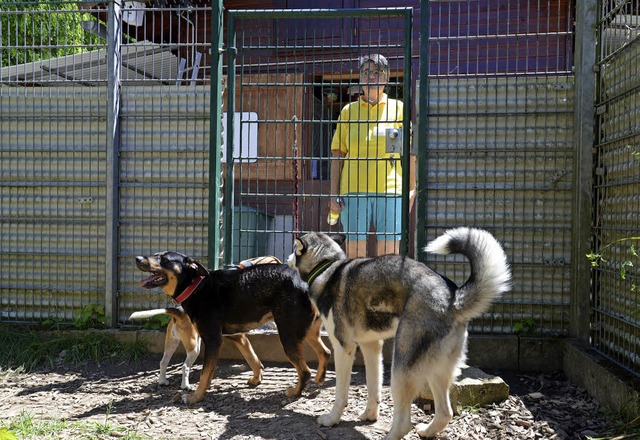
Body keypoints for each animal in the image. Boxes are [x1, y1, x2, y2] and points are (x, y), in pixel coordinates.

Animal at [134, 251, 330, 406]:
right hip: (307, 331)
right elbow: (250, 359)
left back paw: (295, 392)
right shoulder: (236, 336)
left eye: (164, 259)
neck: (197, 286)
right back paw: (319, 379)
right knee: (325, 352)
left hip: (288, 334)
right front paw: (255, 379)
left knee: (304, 371)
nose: (137, 258)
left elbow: (204, 374)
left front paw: (195, 398)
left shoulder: (213, 340)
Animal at [288, 229, 510, 438]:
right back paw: (427, 431)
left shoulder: (344, 349)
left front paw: (332, 419)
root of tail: (452, 299)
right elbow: (373, 386)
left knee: (404, 423)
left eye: (294, 248)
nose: (287, 258)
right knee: (445, 413)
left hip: (401, 368)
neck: (326, 265)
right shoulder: (371, 347)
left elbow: (341, 394)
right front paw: (369, 415)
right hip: (436, 371)